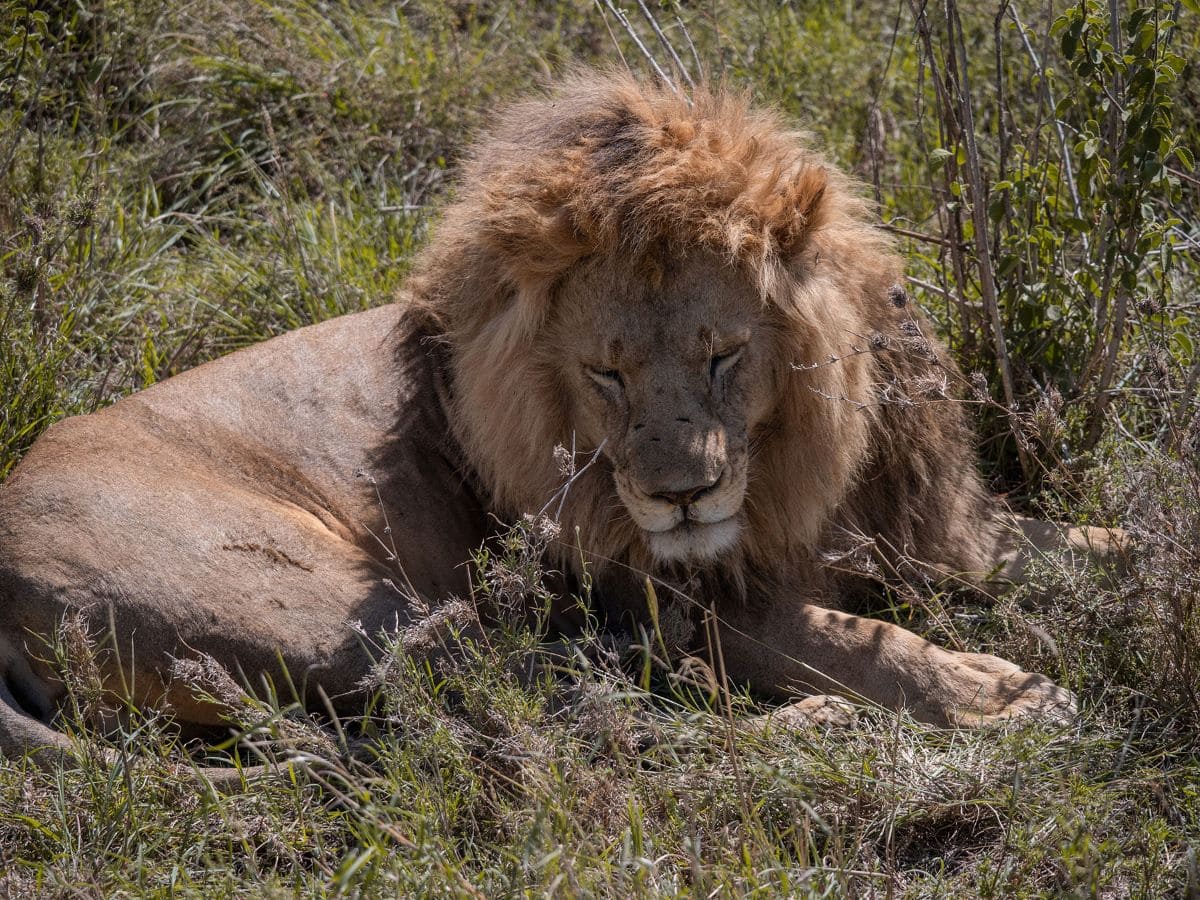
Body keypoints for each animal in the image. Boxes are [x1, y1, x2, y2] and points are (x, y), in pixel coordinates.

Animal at [0, 72, 1112, 779]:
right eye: (603, 374)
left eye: (723, 353)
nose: (680, 498)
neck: (801, 451)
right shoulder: (700, 602)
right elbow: (860, 641)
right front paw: (1001, 695)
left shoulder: (940, 528)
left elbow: (1096, 548)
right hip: (356, 609)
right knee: (560, 724)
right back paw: (817, 728)